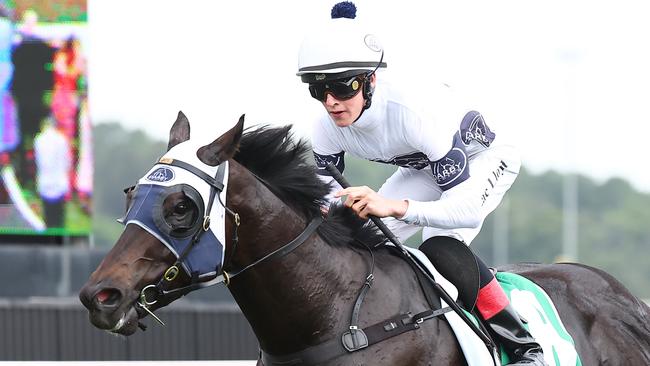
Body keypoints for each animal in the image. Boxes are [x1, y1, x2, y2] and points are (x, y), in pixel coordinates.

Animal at [79, 113, 648, 364]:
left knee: (448, 243)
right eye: (131, 195)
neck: (340, 318)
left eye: (182, 208)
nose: (99, 295)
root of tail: (623, 299)